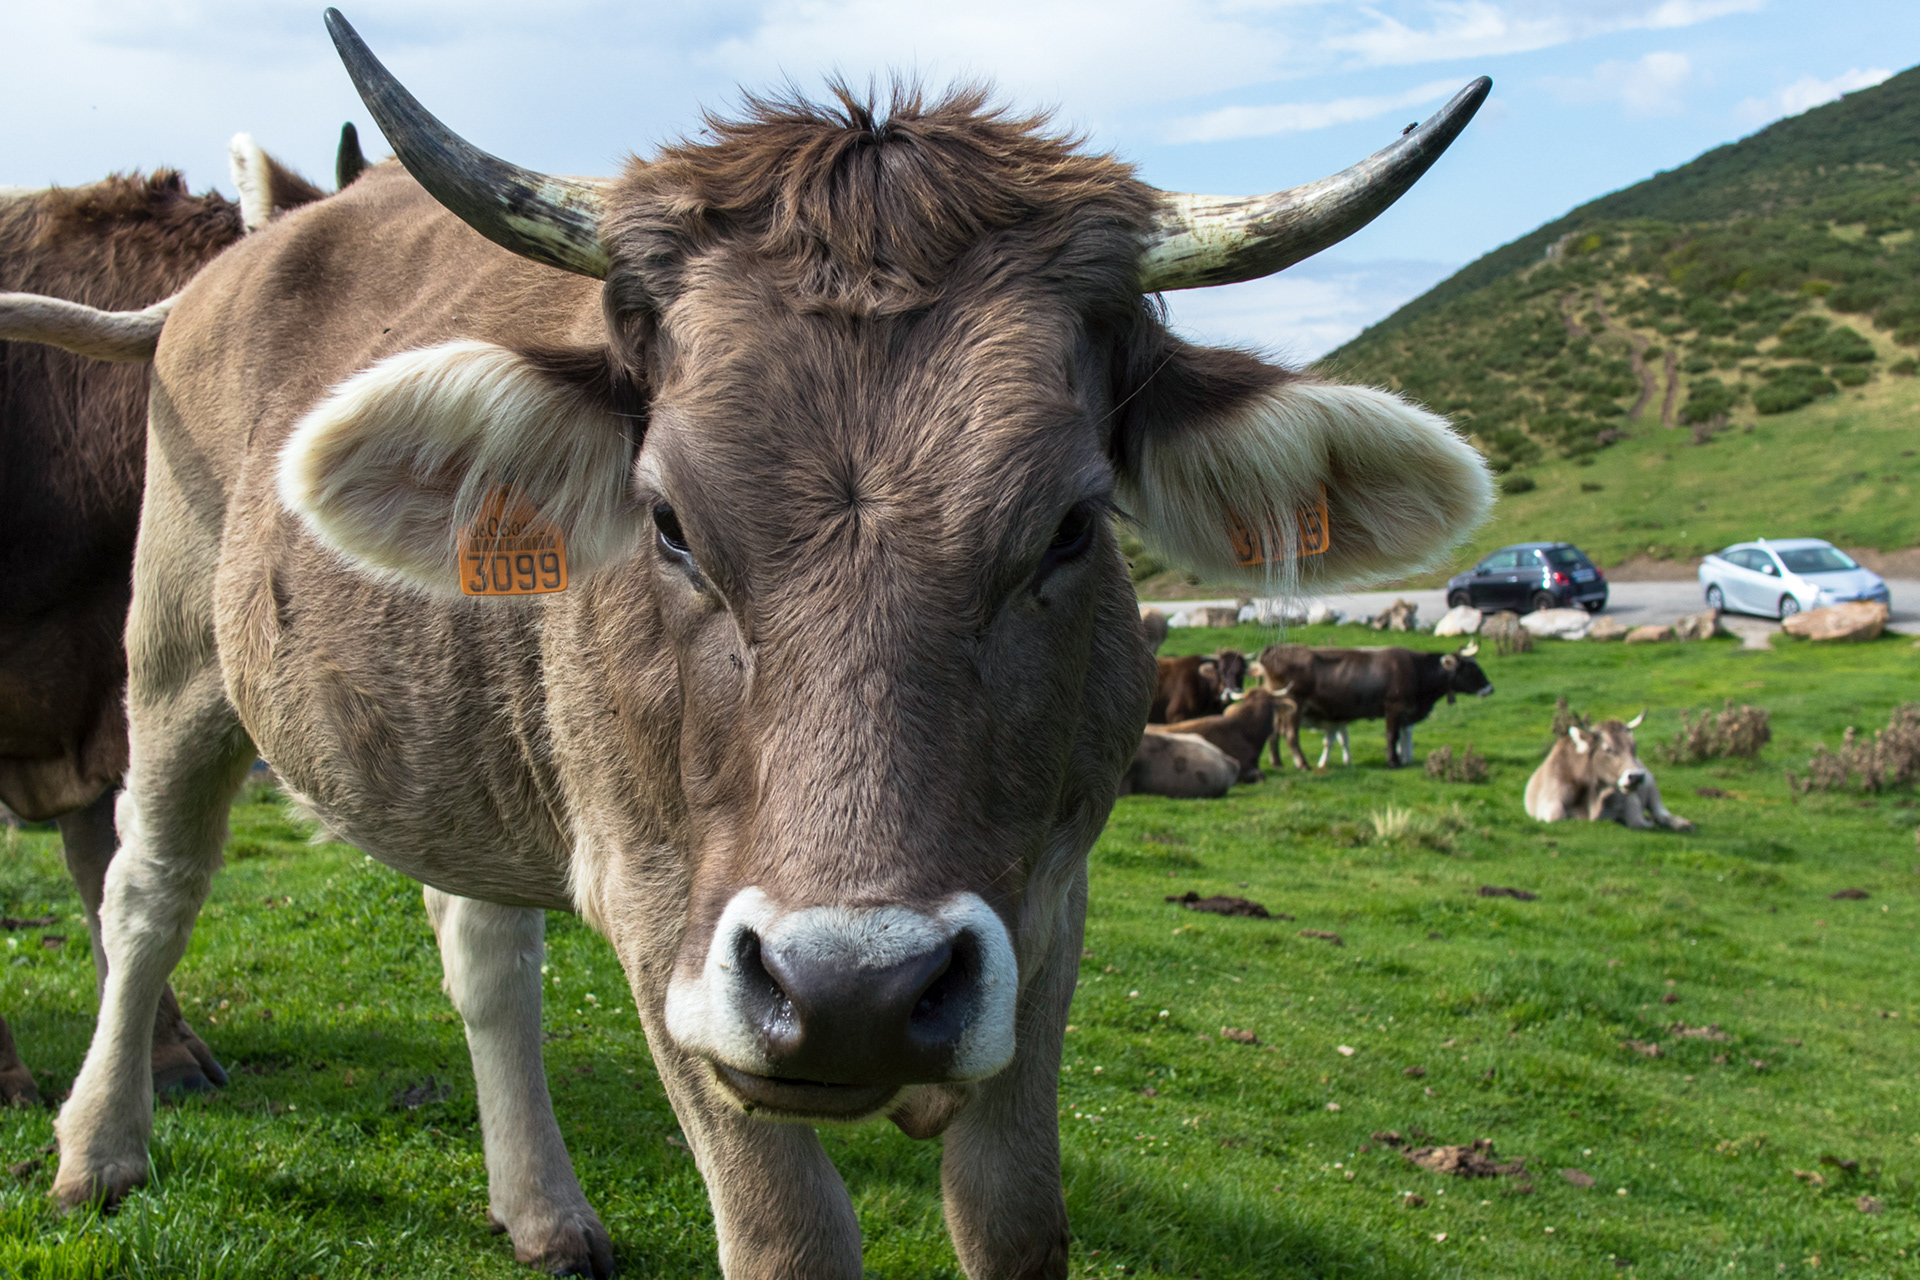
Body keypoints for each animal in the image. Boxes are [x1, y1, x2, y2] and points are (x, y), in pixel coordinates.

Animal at [1256, 642, 1491, 770]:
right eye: (1471, 668)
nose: (1490, 689)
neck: (1417, 670)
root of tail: (1273, 650)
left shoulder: (1405, 712)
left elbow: (1403, 737)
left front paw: (1403, 757)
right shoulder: (1394, 707)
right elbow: (1391, 735)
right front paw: (1393, 761)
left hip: (1279, 706)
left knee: (1273, 734)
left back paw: (1277, 762)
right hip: (1294, 705)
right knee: (1290, 735)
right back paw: (1303, 764)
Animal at [1524, 712, 1694, 831]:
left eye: (1634, 747)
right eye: (1608, 749)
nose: (1636, 777)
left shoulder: (1631, 802)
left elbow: (1638, 821)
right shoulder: (1549, 798)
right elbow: (1556, 816)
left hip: (1652, 787)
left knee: (1661, 813)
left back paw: (1682, 824)